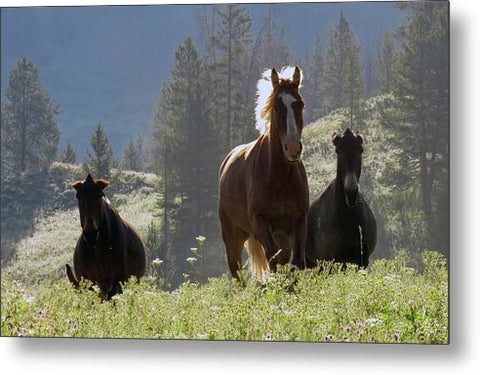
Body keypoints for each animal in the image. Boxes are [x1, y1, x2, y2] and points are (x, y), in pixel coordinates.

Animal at [218, 67, 310, 280]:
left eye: (299, 104)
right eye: (276, 106)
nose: (293, 148)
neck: (280, 178)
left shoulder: (299, 222)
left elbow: (296, 263)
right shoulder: (260, 222)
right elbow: (273, 259)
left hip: (281, 235)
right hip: (233, 237)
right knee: (237, 273)